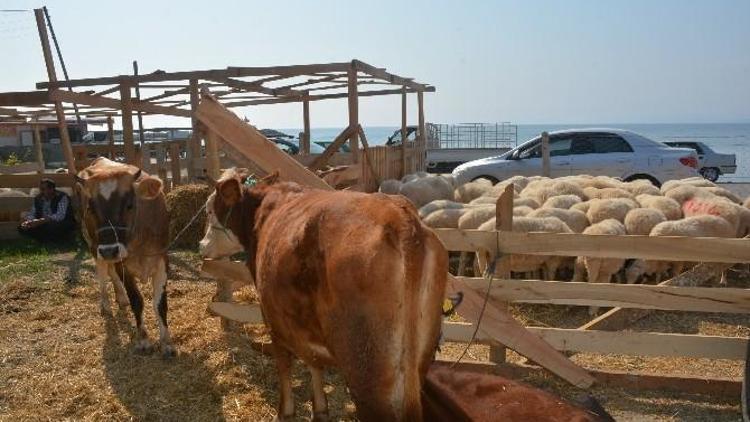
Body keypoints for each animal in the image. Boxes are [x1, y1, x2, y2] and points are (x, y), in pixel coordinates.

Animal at [75, 157, 175, 356]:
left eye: (129, 205)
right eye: (91, 208)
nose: (109, 250)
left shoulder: (162, 259)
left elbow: (160, 304)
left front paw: (166, 343)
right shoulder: (123, 264)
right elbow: (137, 300)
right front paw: (143, 340)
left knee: (111, 273)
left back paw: (121, 298)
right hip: (94, 246)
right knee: (102, 275)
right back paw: (106, 305)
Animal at [198, 170, 446, 420]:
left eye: (209, 210)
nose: (201, 245)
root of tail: (400, 218)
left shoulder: (273, 320)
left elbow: (285, 366)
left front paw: (285, 412)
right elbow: (314, 363)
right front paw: (320, 409)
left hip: (366, 370)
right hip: (419, 359)